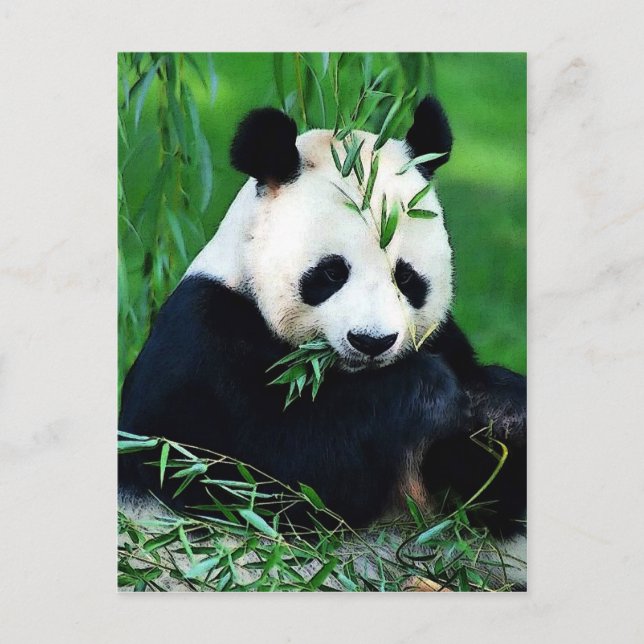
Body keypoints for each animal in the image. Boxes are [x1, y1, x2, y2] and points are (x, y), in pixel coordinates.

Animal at [119, 96, 526, 545]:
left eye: (405, 277)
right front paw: (428, 389)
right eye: (332, 273)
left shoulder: (443, 339)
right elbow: (255, 472)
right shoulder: (200, 344)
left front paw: (499, 409)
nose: (371, 341)